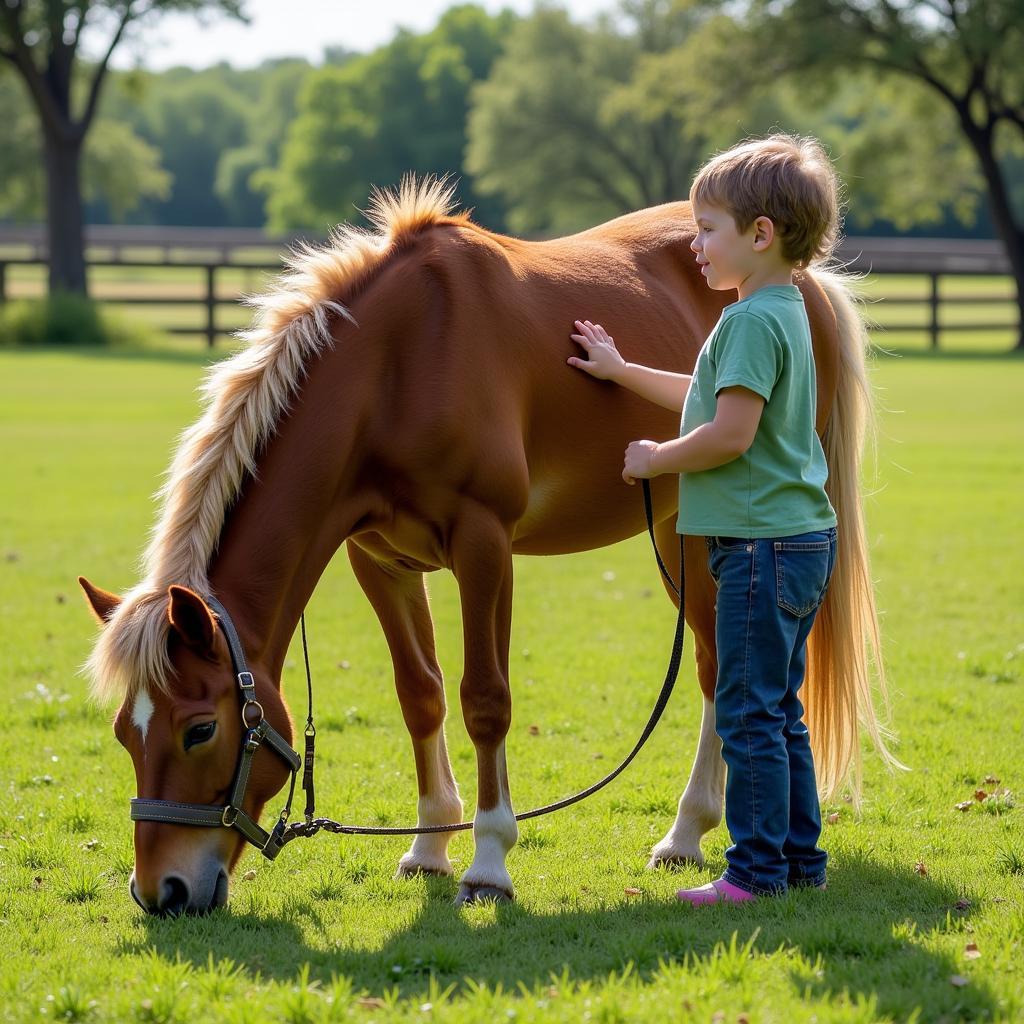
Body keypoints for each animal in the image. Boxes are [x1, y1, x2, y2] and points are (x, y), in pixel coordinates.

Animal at [79, 172, 892, 917]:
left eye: (200, 729)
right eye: (124, 732)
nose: (161, 892)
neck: (398, 366)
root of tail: (807, 282)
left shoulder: (484, 546)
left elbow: (485, 701)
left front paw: (489, 860)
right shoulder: (380, 560)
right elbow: (422, 696)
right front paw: (429, 846)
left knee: (729, 675)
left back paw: (690, 832)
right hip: (682, 534)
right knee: (719, 669)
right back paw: (689, 837)